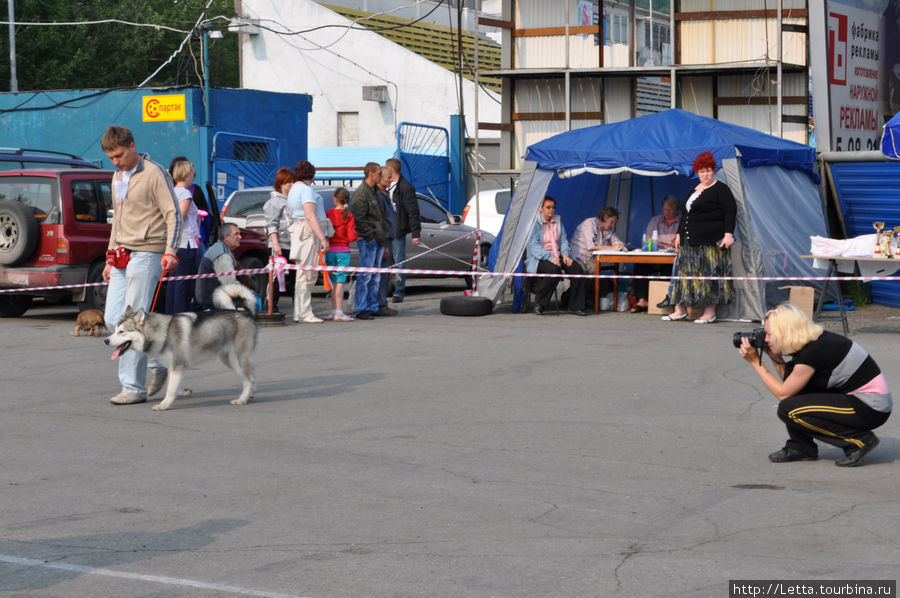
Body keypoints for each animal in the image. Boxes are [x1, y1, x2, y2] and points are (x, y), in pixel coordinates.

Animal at [107, 284, 260, 410]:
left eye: (121, 332)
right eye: (115, 330)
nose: (106, 341)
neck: (162, 332)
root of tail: (245, 311)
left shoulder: (177, 365)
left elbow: (170, 390)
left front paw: (164, 405)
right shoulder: (174, 367)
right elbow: (173, 384)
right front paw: (182, 392)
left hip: (237, 360)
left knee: (249, 380)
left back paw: (241, 399)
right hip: (228, 359)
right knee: (251, 377)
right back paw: (250, 394)